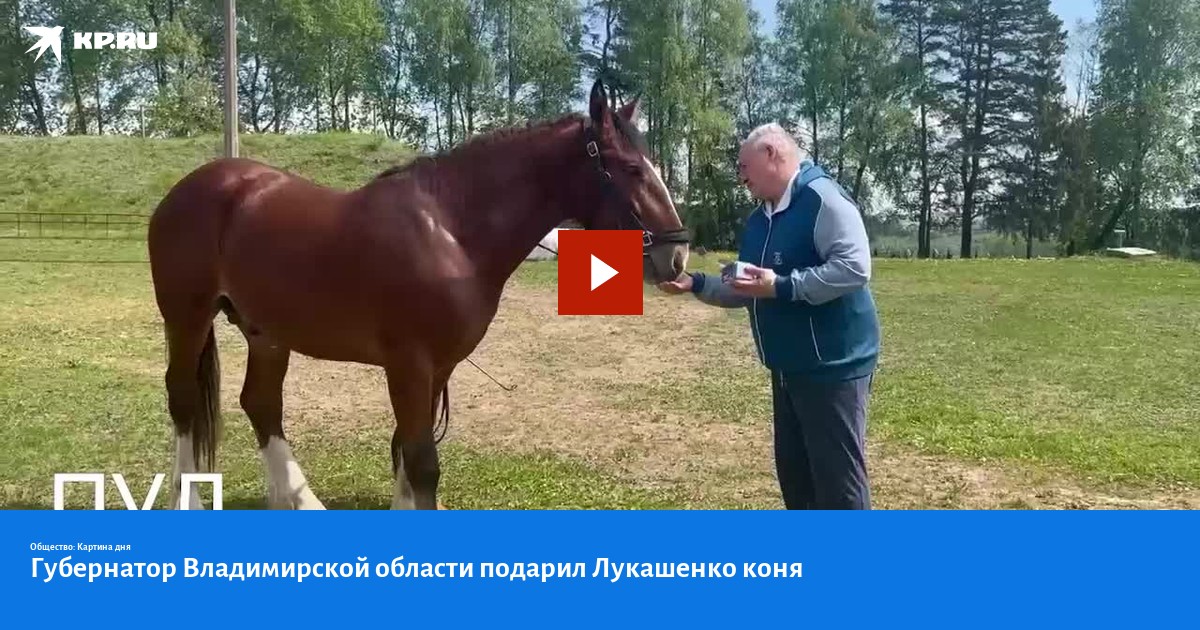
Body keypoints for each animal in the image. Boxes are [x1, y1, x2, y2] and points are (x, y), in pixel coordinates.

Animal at [146, 79, 691, 510]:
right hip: (188, 316)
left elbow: (408, 453)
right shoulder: (409, 364)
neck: (450, 231)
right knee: (184, 398)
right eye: (631, 168)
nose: (678, 256)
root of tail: (192, 187)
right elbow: (422, 462)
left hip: (267, 331)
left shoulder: (439, 368)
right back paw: (187, 500)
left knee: (261, 403)